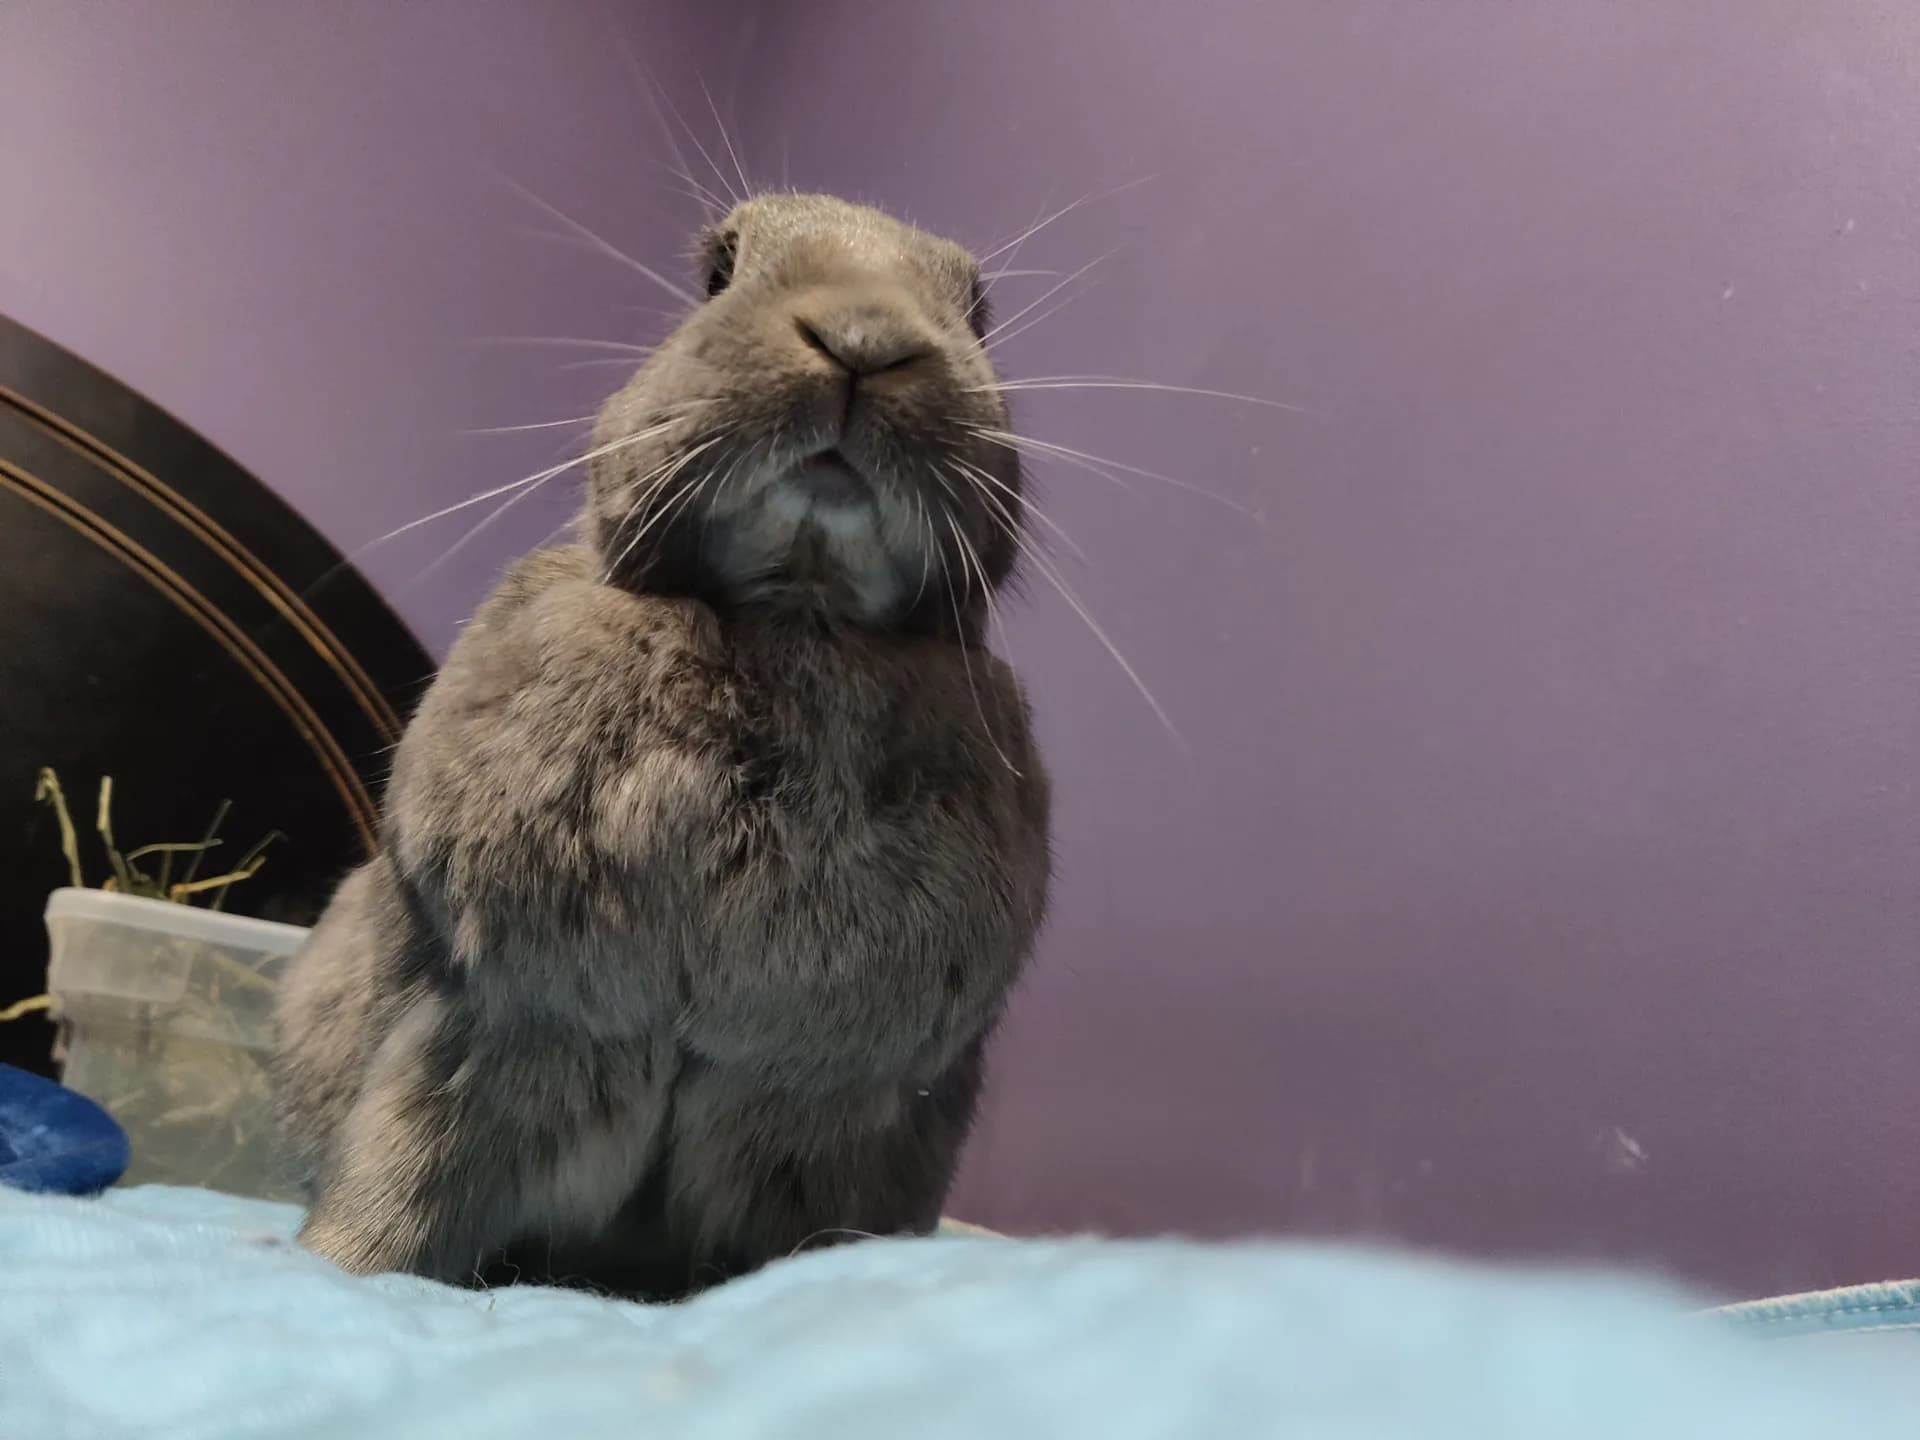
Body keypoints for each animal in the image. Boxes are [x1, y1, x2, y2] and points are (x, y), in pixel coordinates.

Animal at [273, 194, 1052, 1298]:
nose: (864, 341)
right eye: (717, 271)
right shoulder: (482, 1031)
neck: (796, 606)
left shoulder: (841, 1119)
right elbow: (400, 1183)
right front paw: (338, 1274)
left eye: (979, 310)